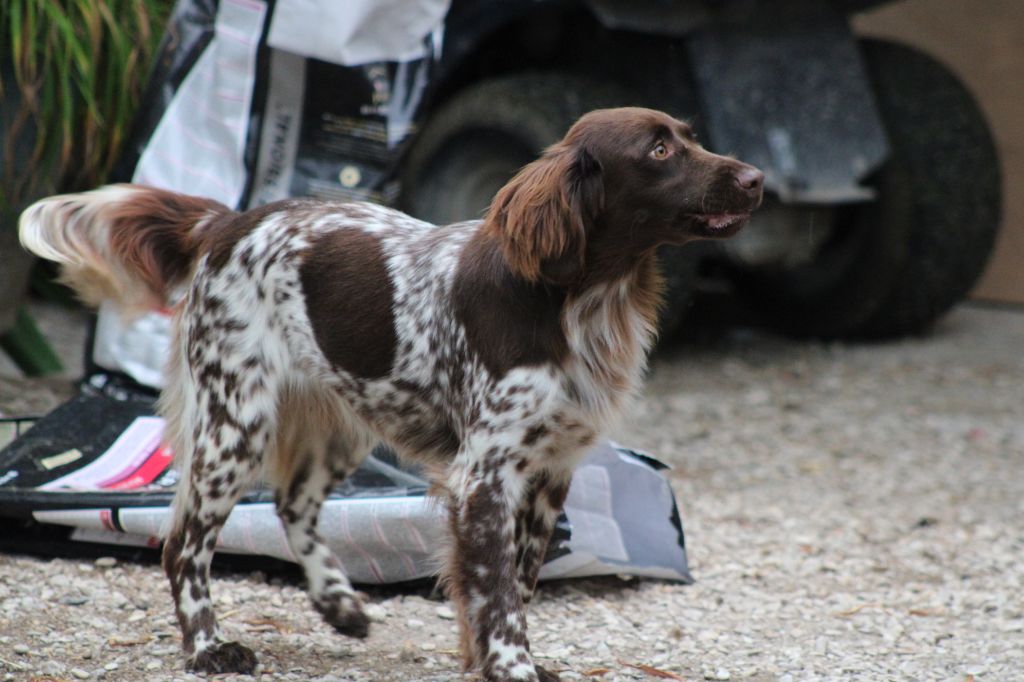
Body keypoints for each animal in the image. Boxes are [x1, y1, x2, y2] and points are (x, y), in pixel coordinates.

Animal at [19, 107, 761, 679]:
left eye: (689, 136)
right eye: (659, 150)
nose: (756, 179)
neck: (574, 301)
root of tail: (227, 224)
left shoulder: (551, 470)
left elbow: (518, 582)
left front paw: (499, 661)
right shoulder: (485, 475)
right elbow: (498, 594)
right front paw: (511, 665)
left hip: (339, 426)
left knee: (291, 507)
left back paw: (338, 604)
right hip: (237, 423)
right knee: (184, 544)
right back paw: (209, 648)